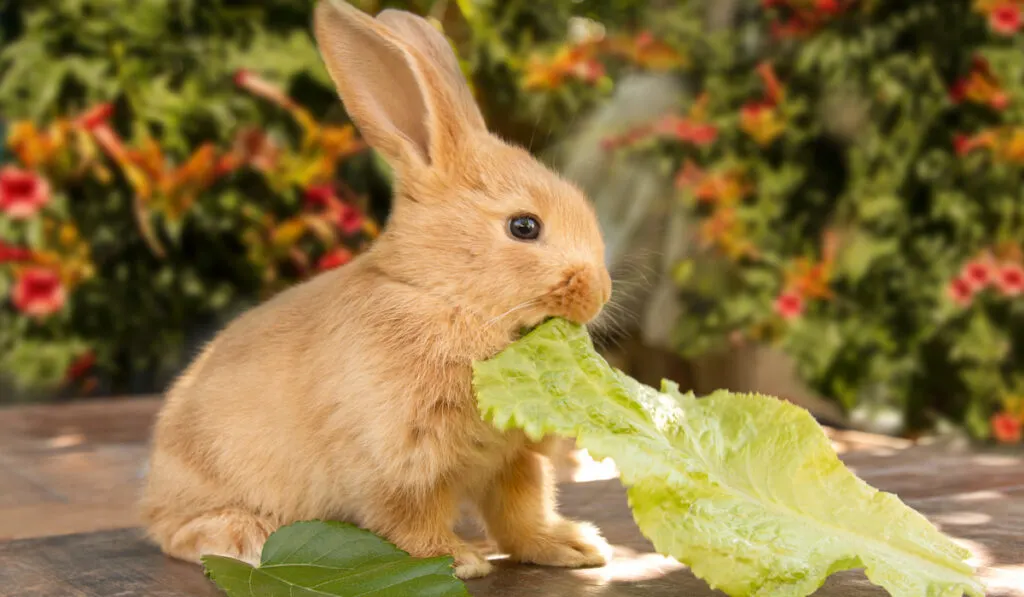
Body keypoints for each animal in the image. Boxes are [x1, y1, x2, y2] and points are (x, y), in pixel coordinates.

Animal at [139, 0, 610, 581]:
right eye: (524, 227)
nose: (599, 293)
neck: (441, 297)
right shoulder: (398, 459)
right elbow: (409, 517)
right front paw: (458, 560)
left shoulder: (512, 456)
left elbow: (523, 510)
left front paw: (572, 547)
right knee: (177, 534)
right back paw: (245, 536)